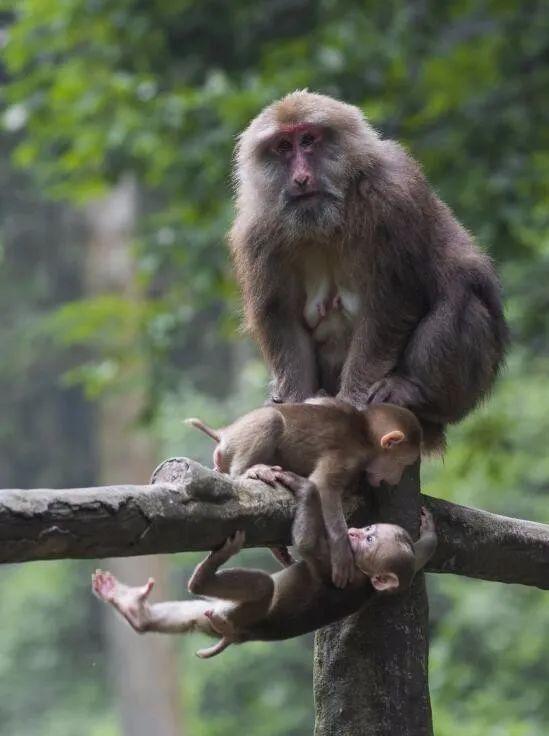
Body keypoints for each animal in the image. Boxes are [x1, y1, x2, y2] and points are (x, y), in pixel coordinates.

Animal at [94, 474, 436, 660]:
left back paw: (206, 572)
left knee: (261, 587)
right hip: (222, 617)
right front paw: (428, 534)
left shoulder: (343, 567)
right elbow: (419, 556)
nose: (354, 534)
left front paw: (304, 488)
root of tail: (237, 636)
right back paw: (136, 611)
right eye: (369, 531)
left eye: (370, 540)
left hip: (241, 617)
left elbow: (308, 546)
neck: (365, 578)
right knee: (194, 615)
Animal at [184, 396, 420, 588]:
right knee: (271, 419)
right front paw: (341, 551)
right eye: (401, 464)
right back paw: (251, 470)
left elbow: (315, 400)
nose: (396, 478)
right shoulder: (348, 456)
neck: (363, 433)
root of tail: (225, 433)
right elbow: (324, 486)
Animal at [227, 92, 506, 448]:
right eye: (283, 146)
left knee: (463, 297)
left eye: (308, 140)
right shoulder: (257, 230)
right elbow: (282, 317)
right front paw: (292, 406)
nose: (301, 178)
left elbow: (389, 305)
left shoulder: (393, 198)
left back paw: (412, 389)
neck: (326, 222)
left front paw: (353, 402)